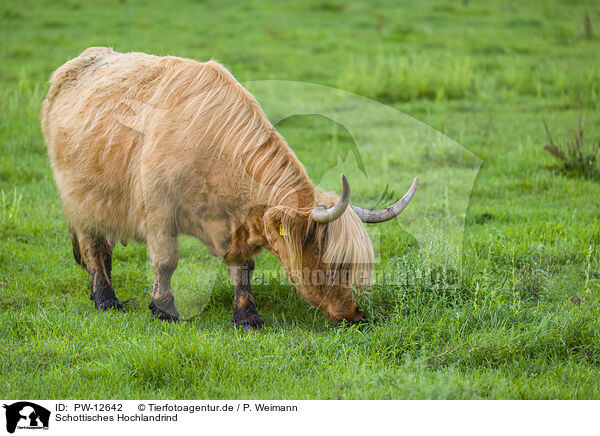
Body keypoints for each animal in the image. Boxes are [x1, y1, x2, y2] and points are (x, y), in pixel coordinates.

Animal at [41, 47, 418, 328]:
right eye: (336, 264)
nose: (355, 314)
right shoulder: (158, 214)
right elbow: (166, 260)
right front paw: (163, 309)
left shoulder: (239, 222)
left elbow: (243, 269)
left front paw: (247, 315)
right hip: (78, 198)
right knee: (93, 246)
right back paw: (106, 298)